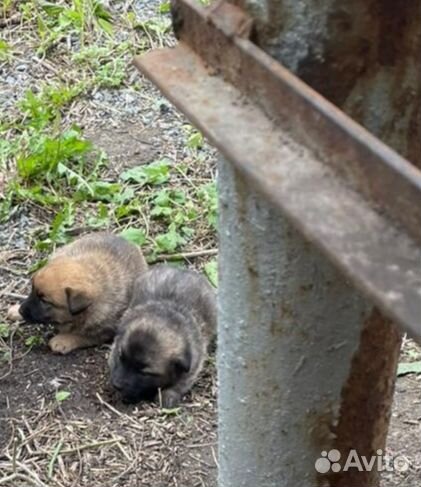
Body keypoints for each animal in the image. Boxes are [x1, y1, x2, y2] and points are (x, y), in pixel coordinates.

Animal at [18, 233, 148, 354]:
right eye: (32, 289)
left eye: (44, 301)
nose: (20, 311)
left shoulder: (104, 331)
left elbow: (81, 336)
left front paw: (62, 340)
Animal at [107, 264, 217, 410]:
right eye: (121, 358)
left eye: (144, 372)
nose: (116, 384)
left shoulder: (193, 365)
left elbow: (181, 383)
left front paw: (167, 396)